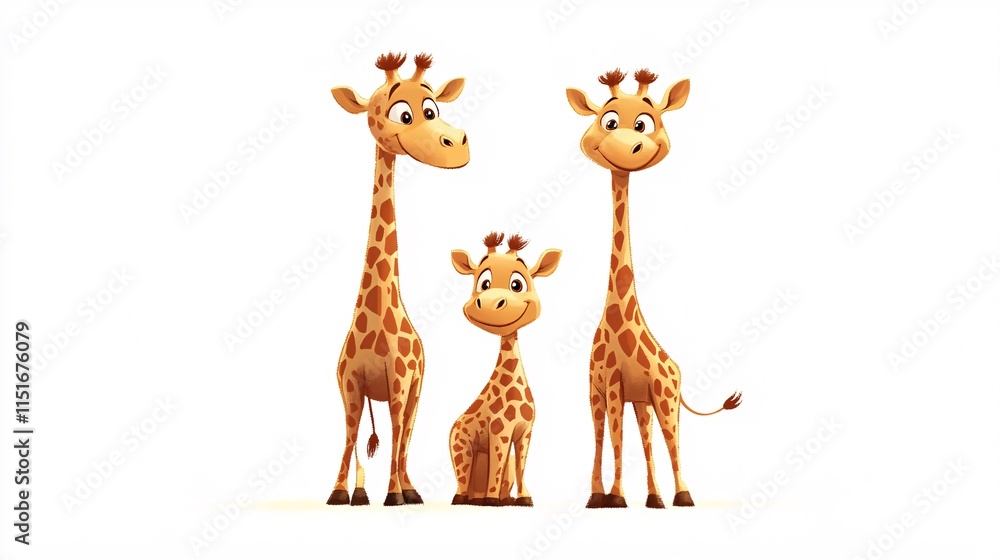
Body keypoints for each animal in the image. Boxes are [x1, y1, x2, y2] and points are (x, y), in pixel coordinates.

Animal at [326, 52, 469, 507]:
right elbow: (349, 435)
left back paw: (408, 489)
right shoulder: (349, 385)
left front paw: (394, 495)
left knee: (405, 434)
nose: (457, 144)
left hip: (417, 388)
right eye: (402, 114)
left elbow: (393, 435)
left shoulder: (400, 383)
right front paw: (340, 493)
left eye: (432, 109)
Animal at [448, 232, 561, 507]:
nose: (487, 304)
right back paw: (467, 498)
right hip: (461, 448)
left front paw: (524, 499)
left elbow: (520, 466)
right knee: (463, 478)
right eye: (484, 283)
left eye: (517, 284)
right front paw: (491, 500)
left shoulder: (525, 431)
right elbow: (496, 466)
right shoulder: (499, 431)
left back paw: (497, 498)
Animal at [566, 68, 742, 509]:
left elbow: (616, 439)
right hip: (645, 399)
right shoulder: (599, 386)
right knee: (647, 440)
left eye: (646, 122)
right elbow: (604, 438)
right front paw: (599, 497)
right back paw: (655, 497)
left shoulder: (617, 387)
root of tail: (677, 368)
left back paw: (682, 495)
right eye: (608, 121)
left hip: (665, 395)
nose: (631, 147)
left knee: (671, 440)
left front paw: (615, 497)